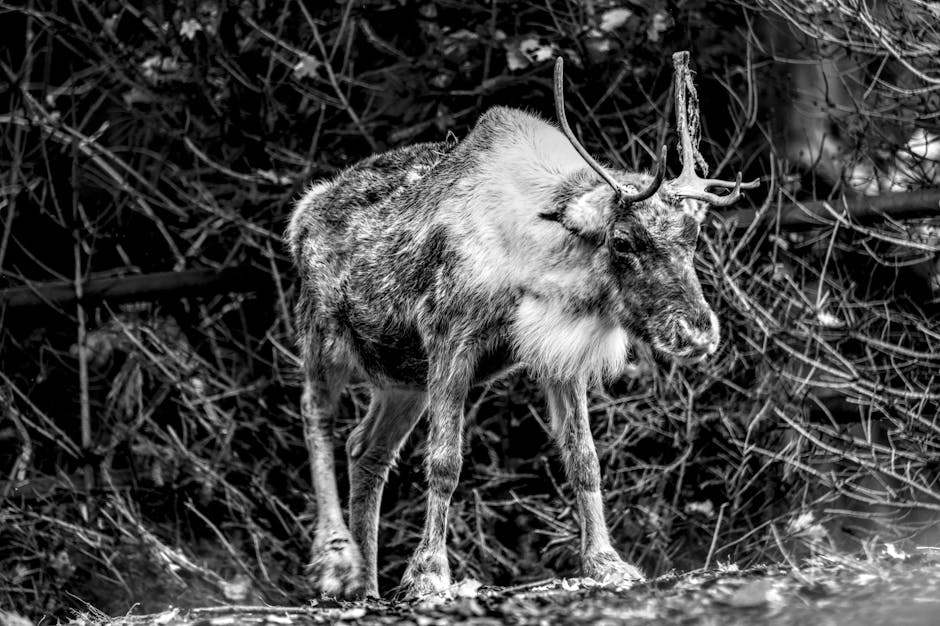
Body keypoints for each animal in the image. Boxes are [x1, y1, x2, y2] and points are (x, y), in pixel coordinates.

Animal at [285, 51, 758, 599]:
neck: (535, 261)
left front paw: (606, 562)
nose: (698, 333)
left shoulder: (560, 355)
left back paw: (365, 582)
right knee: (316, 418)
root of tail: (301, 214)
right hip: (323, 338)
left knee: (366, 448)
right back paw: (335, 560)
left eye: (694, 235)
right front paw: (428, 572)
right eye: (622, 241)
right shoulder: (451, 338)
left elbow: (584, 459)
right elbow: (445, 461)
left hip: (403, 379)